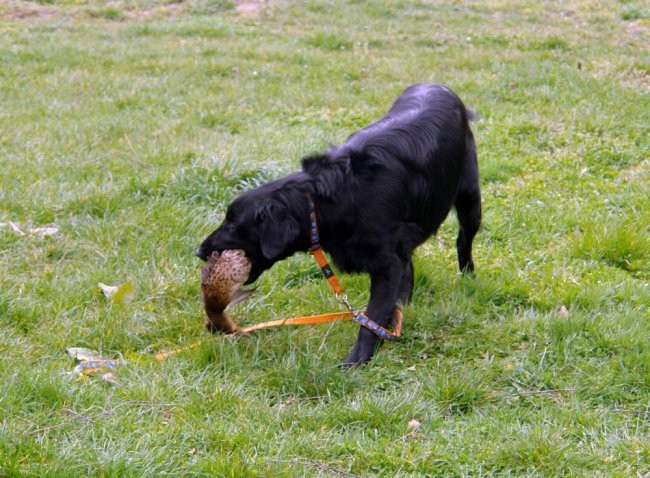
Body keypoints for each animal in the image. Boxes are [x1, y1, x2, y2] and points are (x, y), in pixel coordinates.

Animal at [196, 84, 480, 364]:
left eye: (234, 222)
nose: (199, 251)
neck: (328, 198)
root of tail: (439, 86)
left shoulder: (386, 264)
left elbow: (371, 317)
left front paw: (358, 359)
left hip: (470, 200)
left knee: (463, 240)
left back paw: (468, 279)